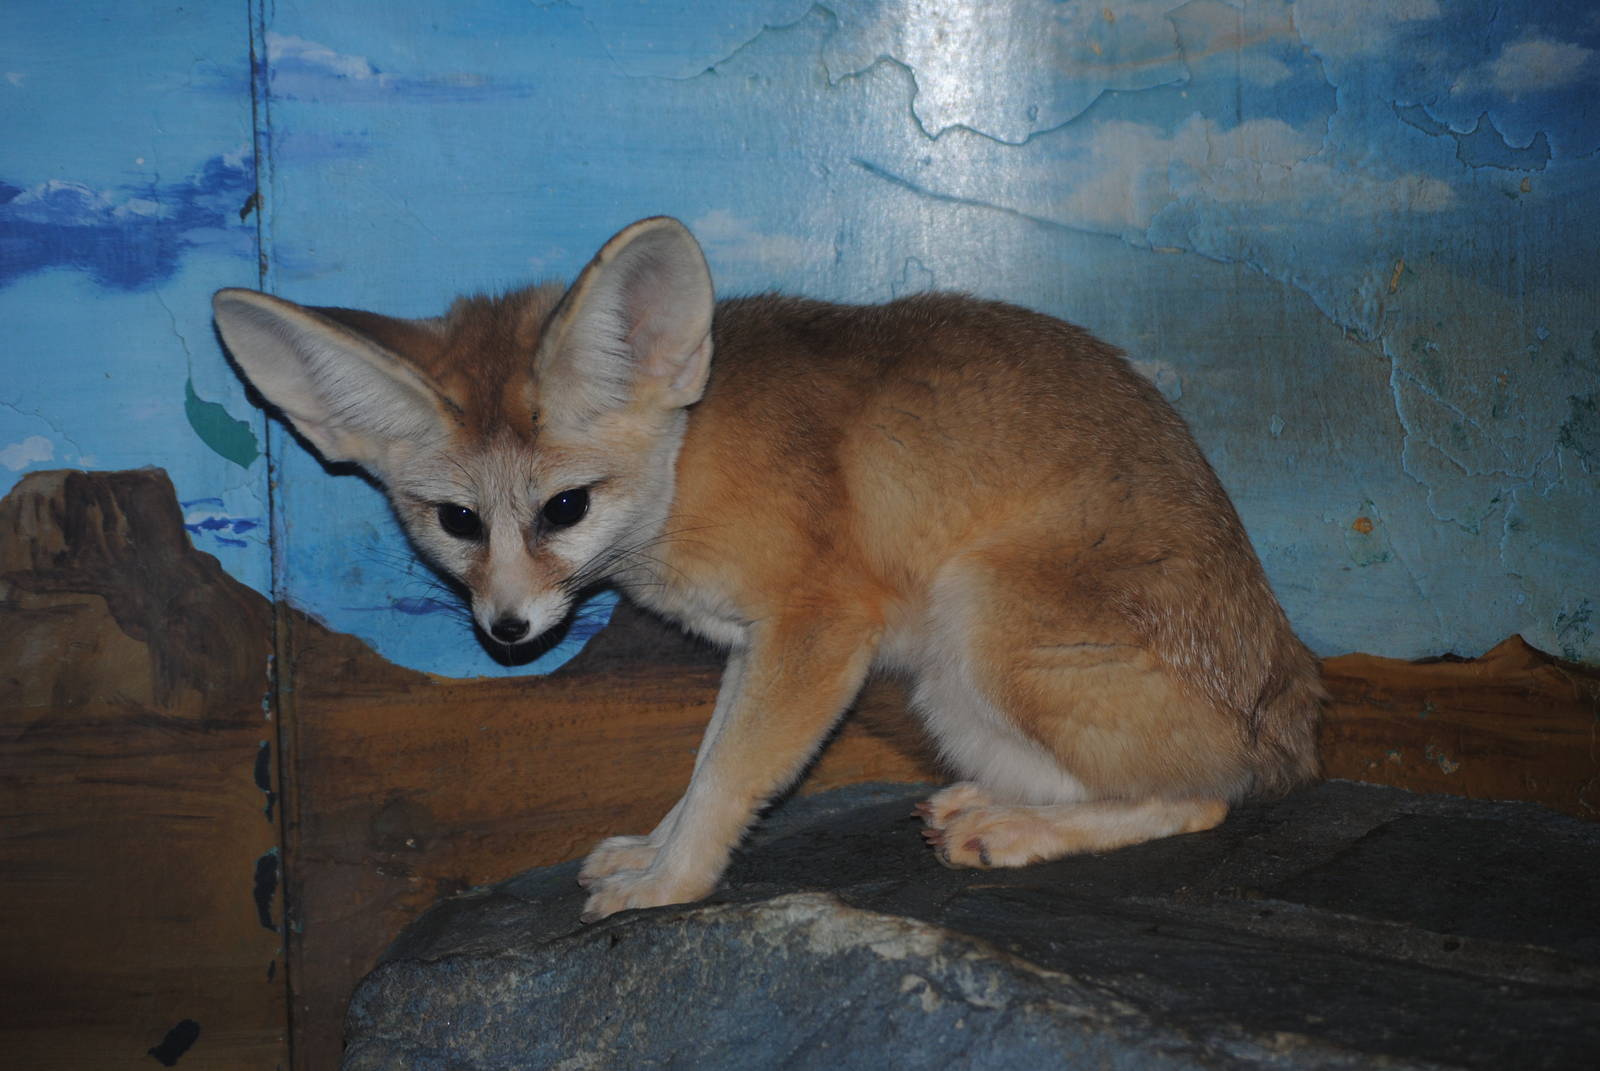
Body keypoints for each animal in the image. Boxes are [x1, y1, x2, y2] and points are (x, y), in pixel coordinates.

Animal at [212, 216, 1321, 922]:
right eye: (456, 521)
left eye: (565, 508)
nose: (508, 632)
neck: (692, 458)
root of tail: (1290, 702)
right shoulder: (757, 648)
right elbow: (702, 765)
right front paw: (654, 848)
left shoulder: (818, 632)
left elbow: (732, 776)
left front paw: (672, 884)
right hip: (951, 686)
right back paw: (997, 809)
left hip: (975, 621)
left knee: (1206, 795)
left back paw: (1026, 828)